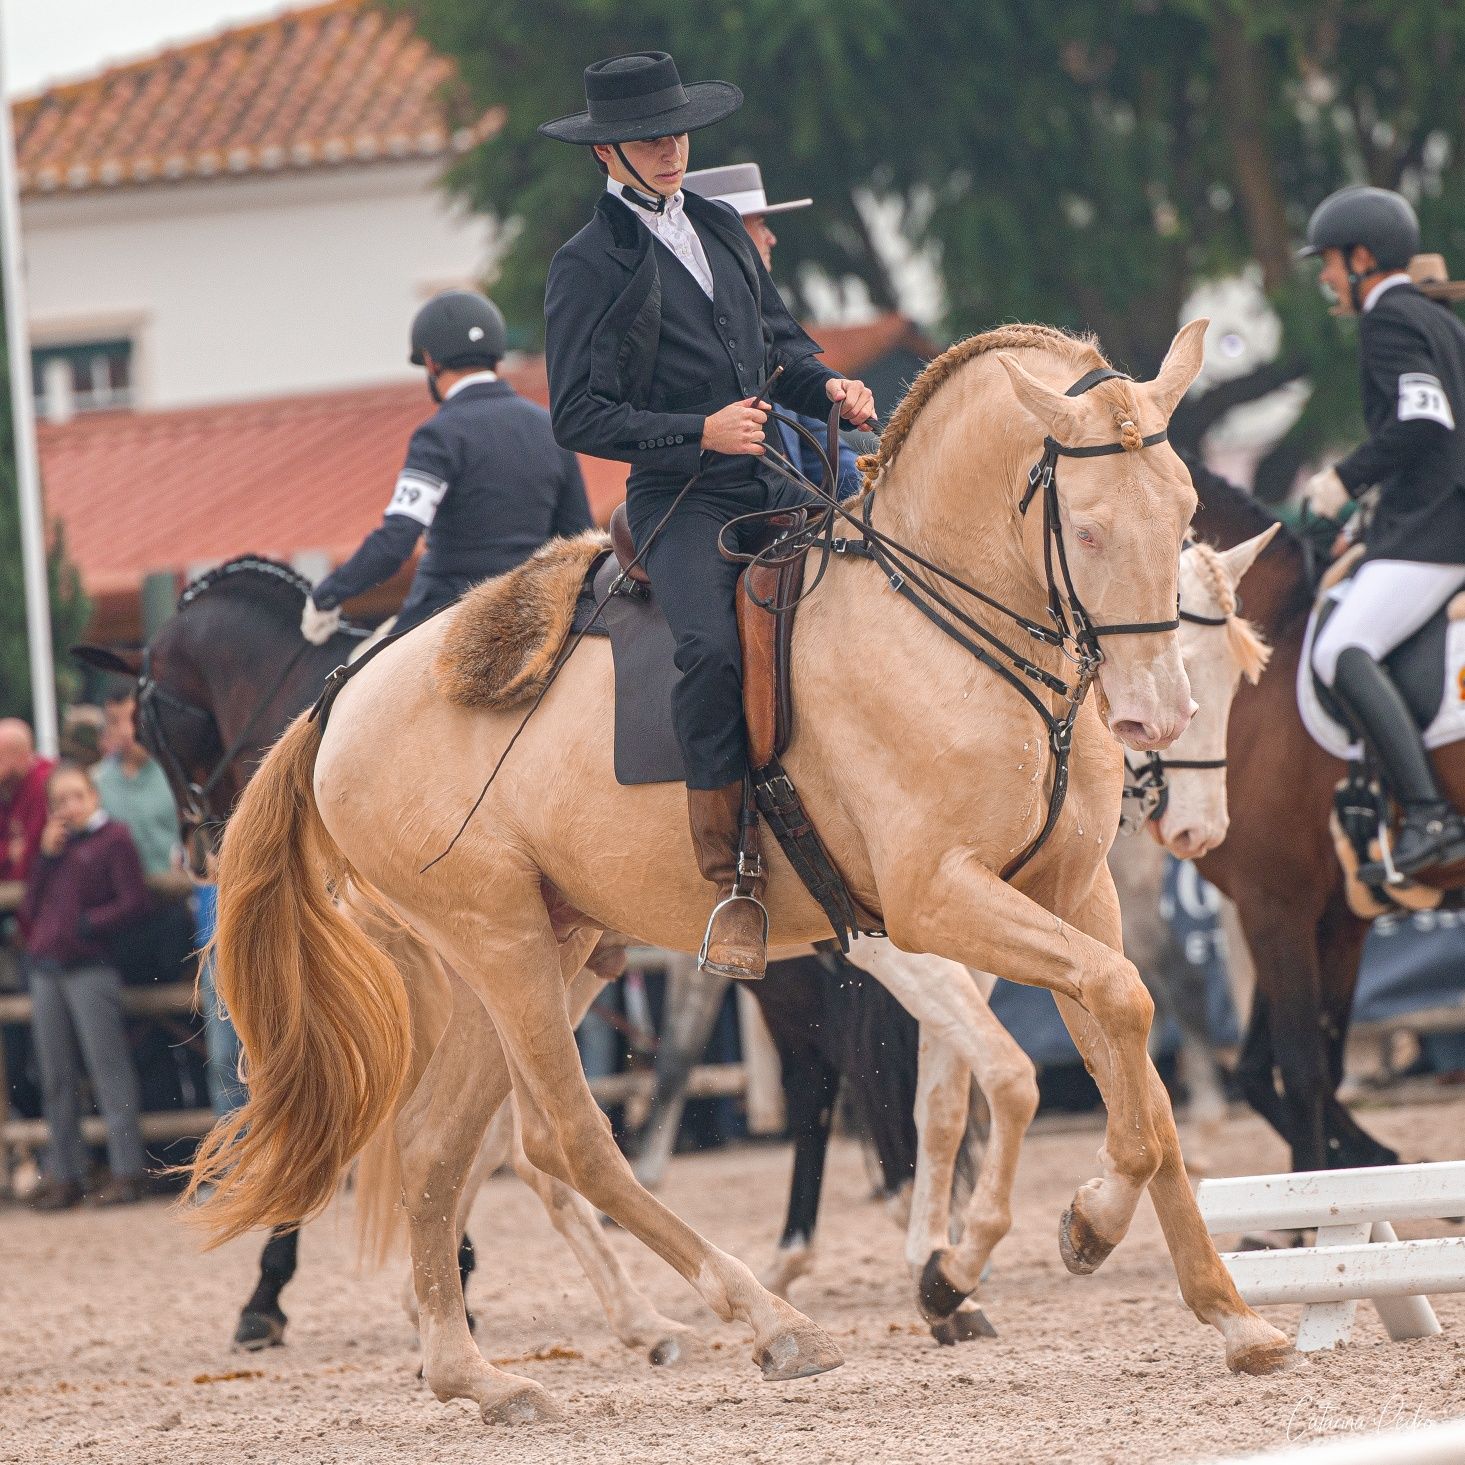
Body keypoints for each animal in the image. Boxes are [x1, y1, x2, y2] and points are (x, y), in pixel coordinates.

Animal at [188, 317, 1300, 1418]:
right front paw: (1031, 1242)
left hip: (534, 949)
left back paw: (478, 1374)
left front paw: (1217, 1309)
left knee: (441, 1146)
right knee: (573, 1141)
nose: (1154, 723)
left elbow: (1125, 1051)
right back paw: (767, 1323)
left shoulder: (1070, 892)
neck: (949, 630)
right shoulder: (932, 902)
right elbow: (1049, 1050)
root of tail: (339, 697)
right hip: (499, 944)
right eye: (1093, 527)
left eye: (1184, 508)